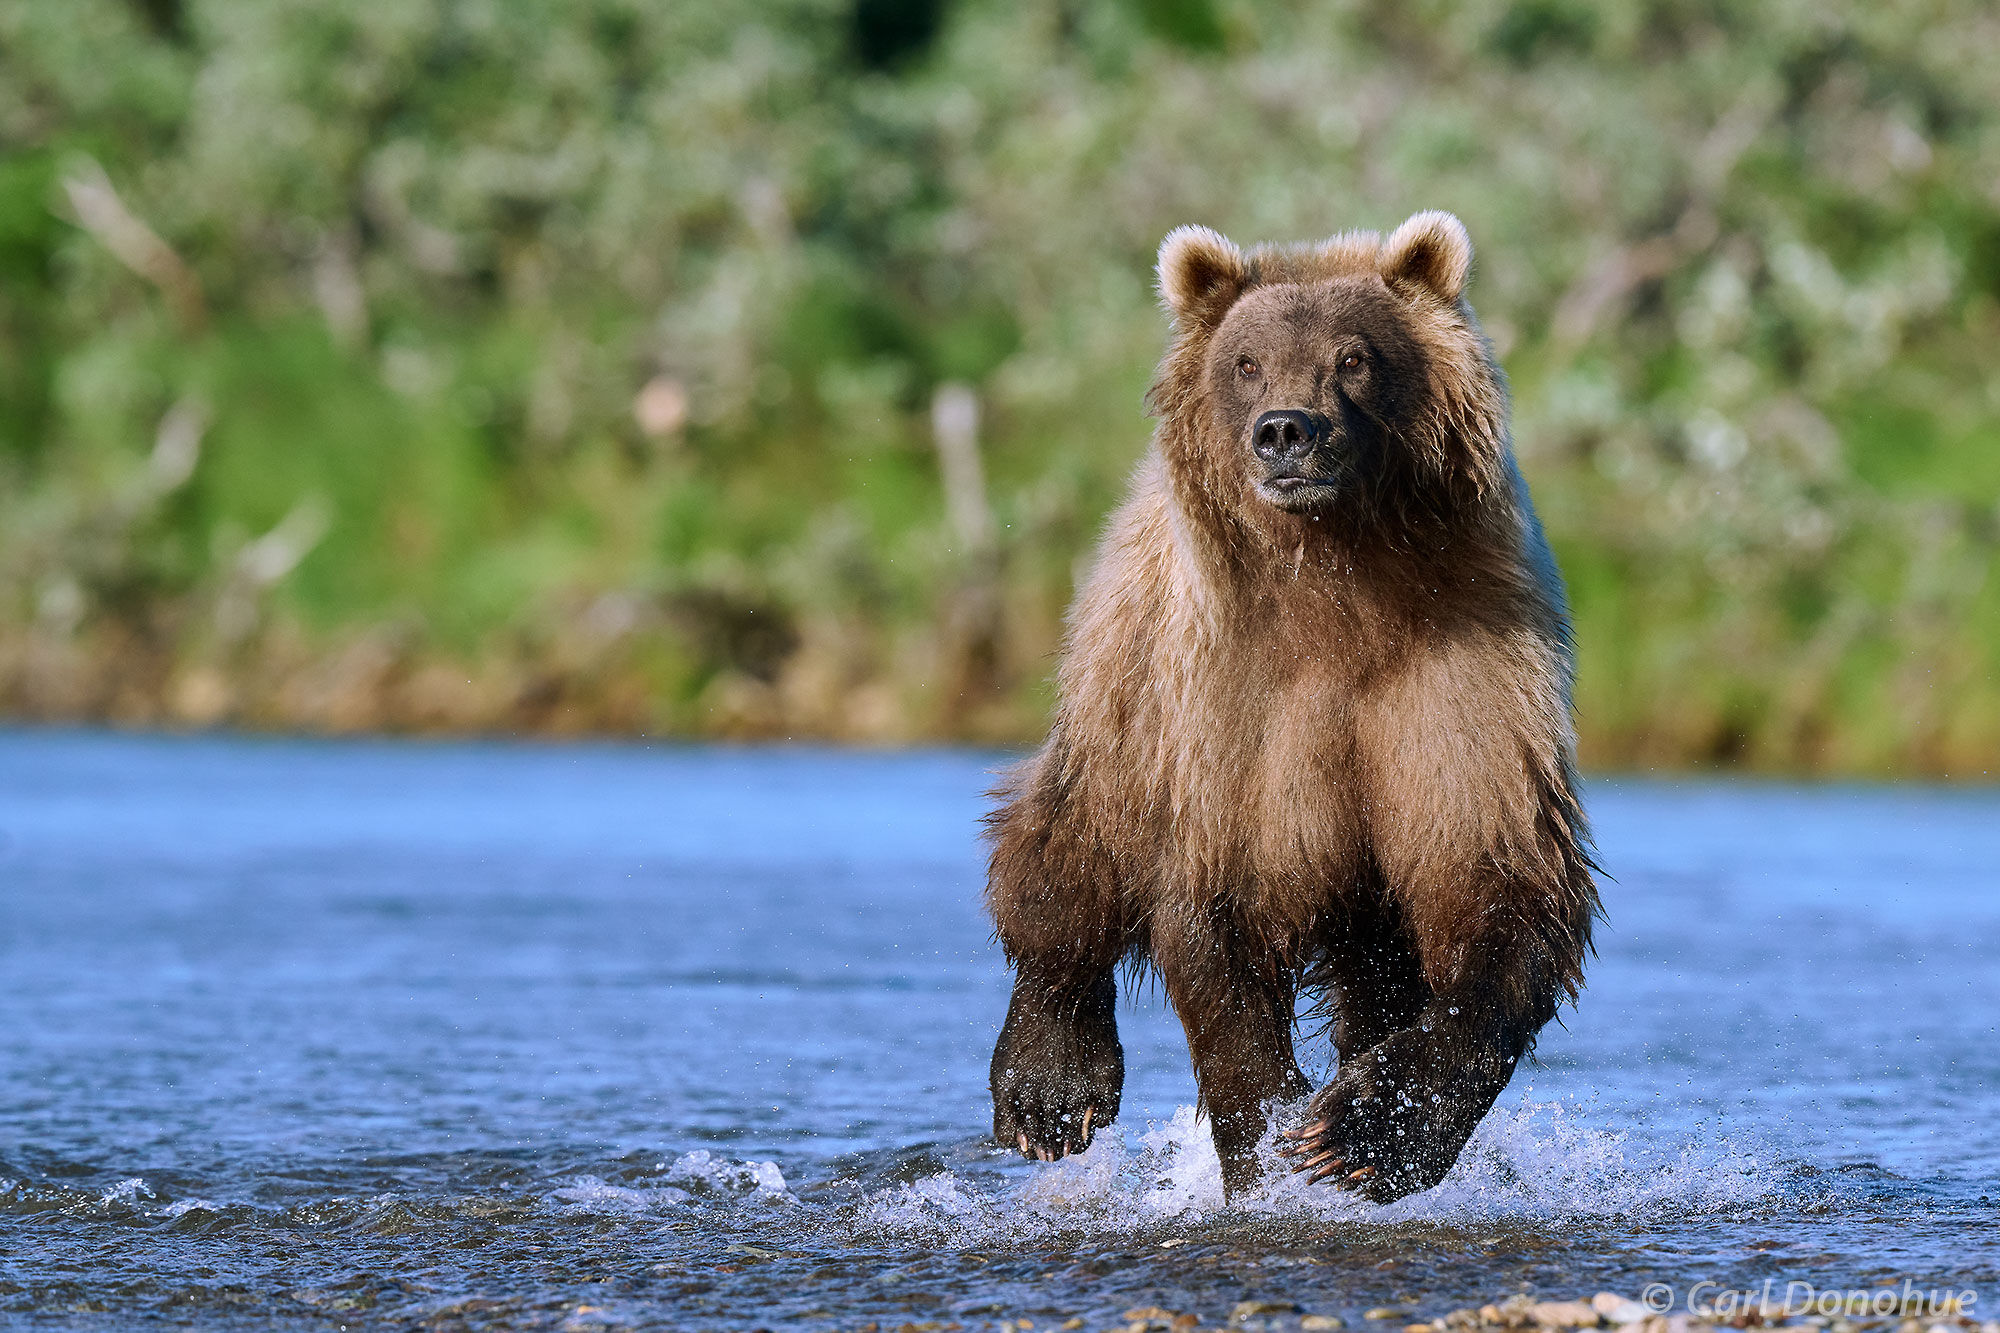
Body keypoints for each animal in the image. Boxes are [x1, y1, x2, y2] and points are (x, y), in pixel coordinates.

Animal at [984, 211, 1598, 1203]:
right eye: (1246, 361)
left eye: (1354, 357)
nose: (1285, 431)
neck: (1344, 583)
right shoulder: (1230, 703)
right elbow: (1218, 914)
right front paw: (1268, 1147)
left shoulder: (1463, 675)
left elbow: (1498, 880)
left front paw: (1361, 1131)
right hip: (1123, 691)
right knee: (1067, 848)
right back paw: (1049, 1088)